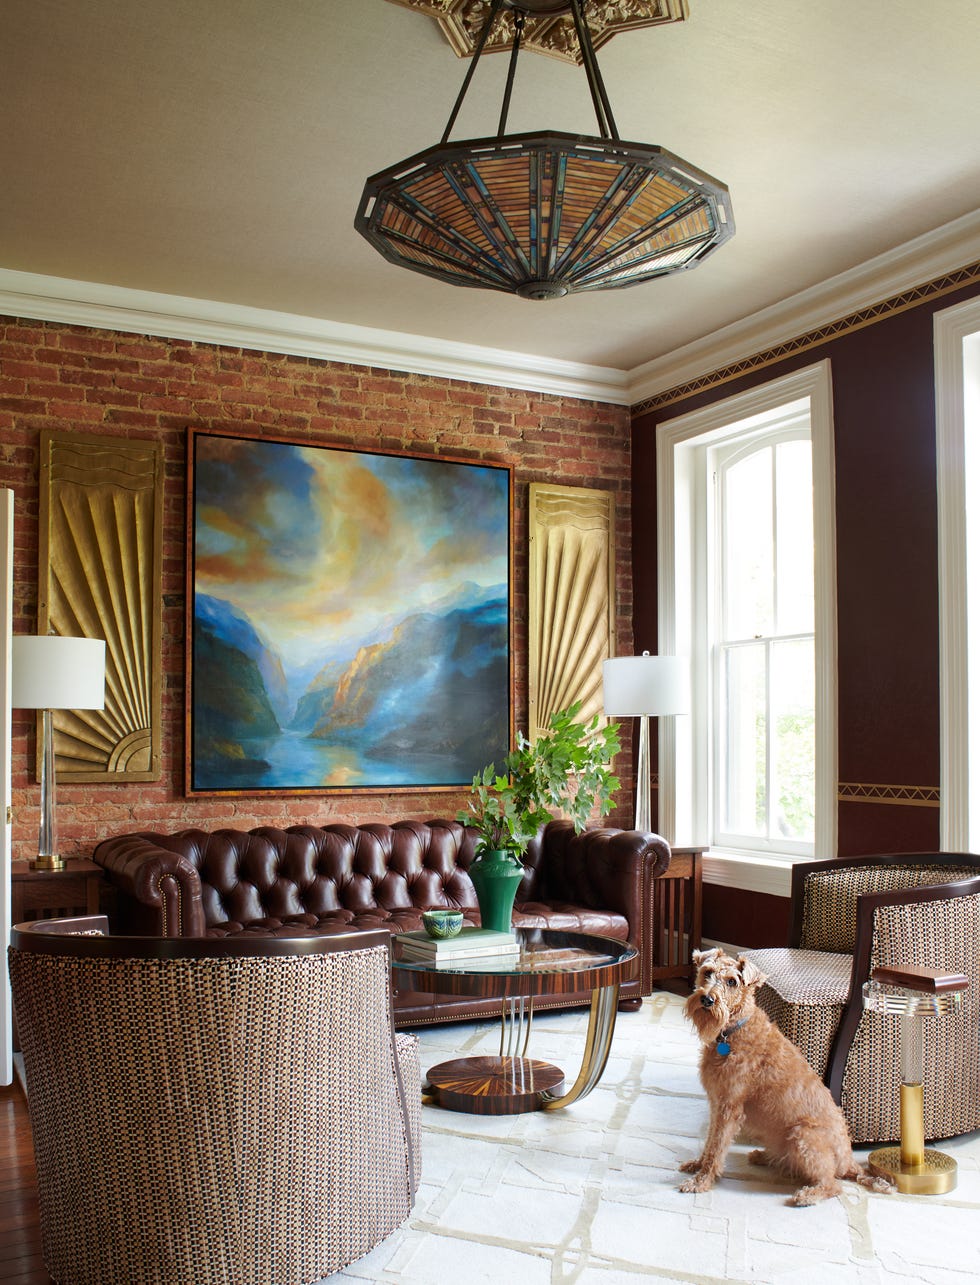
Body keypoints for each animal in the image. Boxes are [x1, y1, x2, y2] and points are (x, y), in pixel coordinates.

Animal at [678, 945, 893, 1202]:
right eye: (707, 972)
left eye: (732, 981)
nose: (707, 999)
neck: (732, 1031)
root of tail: (849, 1162)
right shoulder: (717, 1103)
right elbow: (710, 1141)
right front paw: (696, 1165)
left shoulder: (729, 1107)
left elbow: (716, 1148)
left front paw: (700, 1182)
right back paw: (762, 1156)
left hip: (802, 1137)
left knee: (832, 1184)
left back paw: (807, 1195)